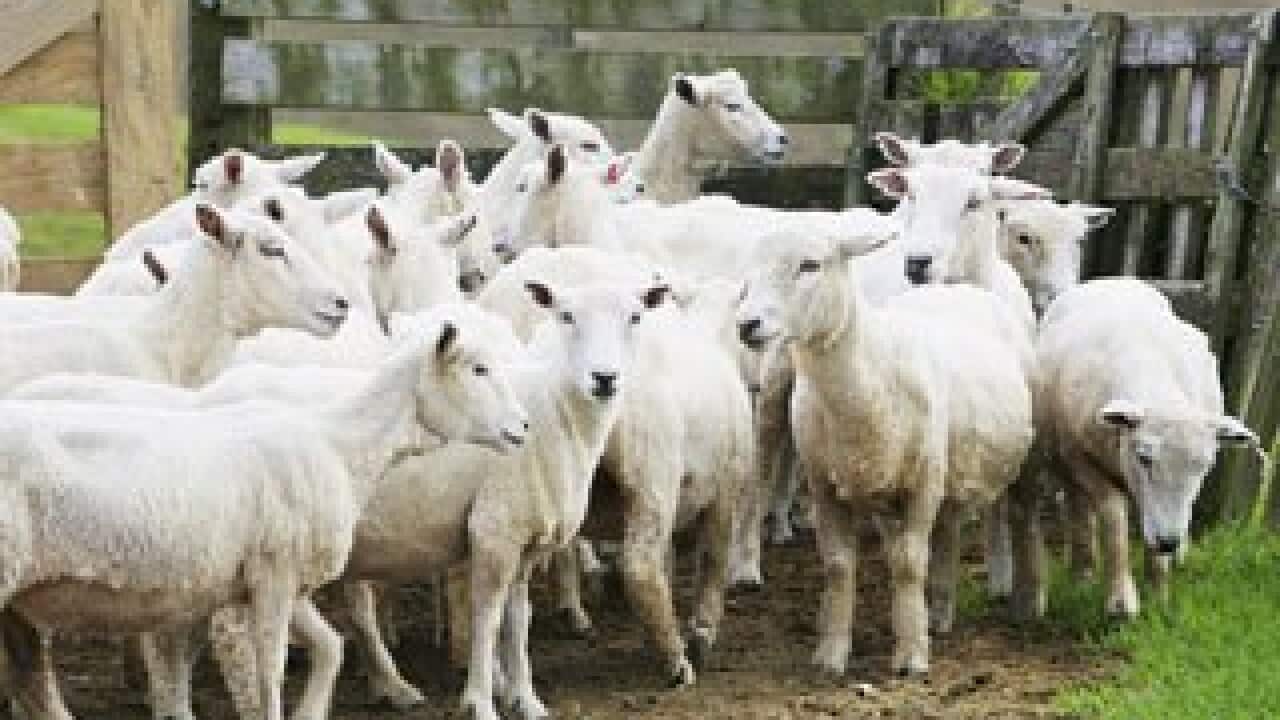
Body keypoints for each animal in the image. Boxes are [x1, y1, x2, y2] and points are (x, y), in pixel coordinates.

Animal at [0, 306, 529, 720]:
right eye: (479, 369)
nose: (523, 427)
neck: (340, 445)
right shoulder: (274, 574)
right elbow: (269, 675)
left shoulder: (280, 581)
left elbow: (330, 648)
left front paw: (311, 711)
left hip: (16, 600)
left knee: (31, 681)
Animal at [737, 225, 1034, 676]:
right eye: (750, 271)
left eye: (810, 264)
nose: (746, 324)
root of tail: (956, 287)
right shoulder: (825, 486)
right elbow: (838, 565)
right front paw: (832, 652)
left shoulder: (924, 482)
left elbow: (909, 564)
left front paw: (911, 654)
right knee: (947, 531)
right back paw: (939, 614)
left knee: (998, 520)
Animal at [1035, 277, 1261, 618]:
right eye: (1144, 457)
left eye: (1206, 466)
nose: (1169, 541)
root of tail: (1113, 280)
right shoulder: (1080, 458)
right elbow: (1113, 516)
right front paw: (1121, 600)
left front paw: (1159, 594)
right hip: (1061, 457)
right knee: (1078, 507)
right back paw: (1083, 572)